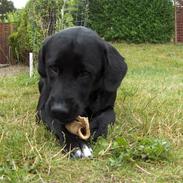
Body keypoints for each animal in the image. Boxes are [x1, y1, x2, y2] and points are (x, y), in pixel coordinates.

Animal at [36, 26, 127, 158]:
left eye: (84, 73)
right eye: (53, 68)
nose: (59, 110)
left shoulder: (109, 106)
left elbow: (108, 116)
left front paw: (96, 128)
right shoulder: (43, 110)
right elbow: (56, 123)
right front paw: (77, 144)